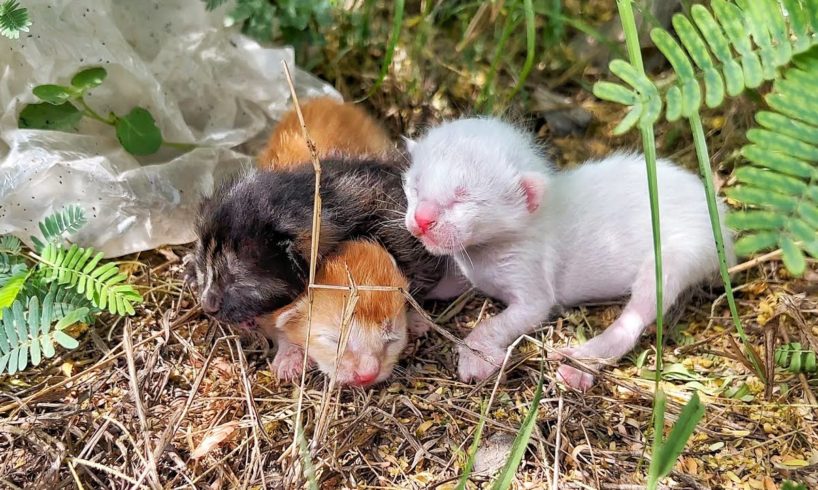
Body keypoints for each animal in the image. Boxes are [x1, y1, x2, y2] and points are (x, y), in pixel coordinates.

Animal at [404, 117, 732, 388]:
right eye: (415, 186)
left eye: (463, 199)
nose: (422, 219)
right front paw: (413, 311)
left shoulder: (533, 285)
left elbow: (498, 322)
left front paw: (476, 356)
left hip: (681, 253)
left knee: (638, 314)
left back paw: (580, 364)